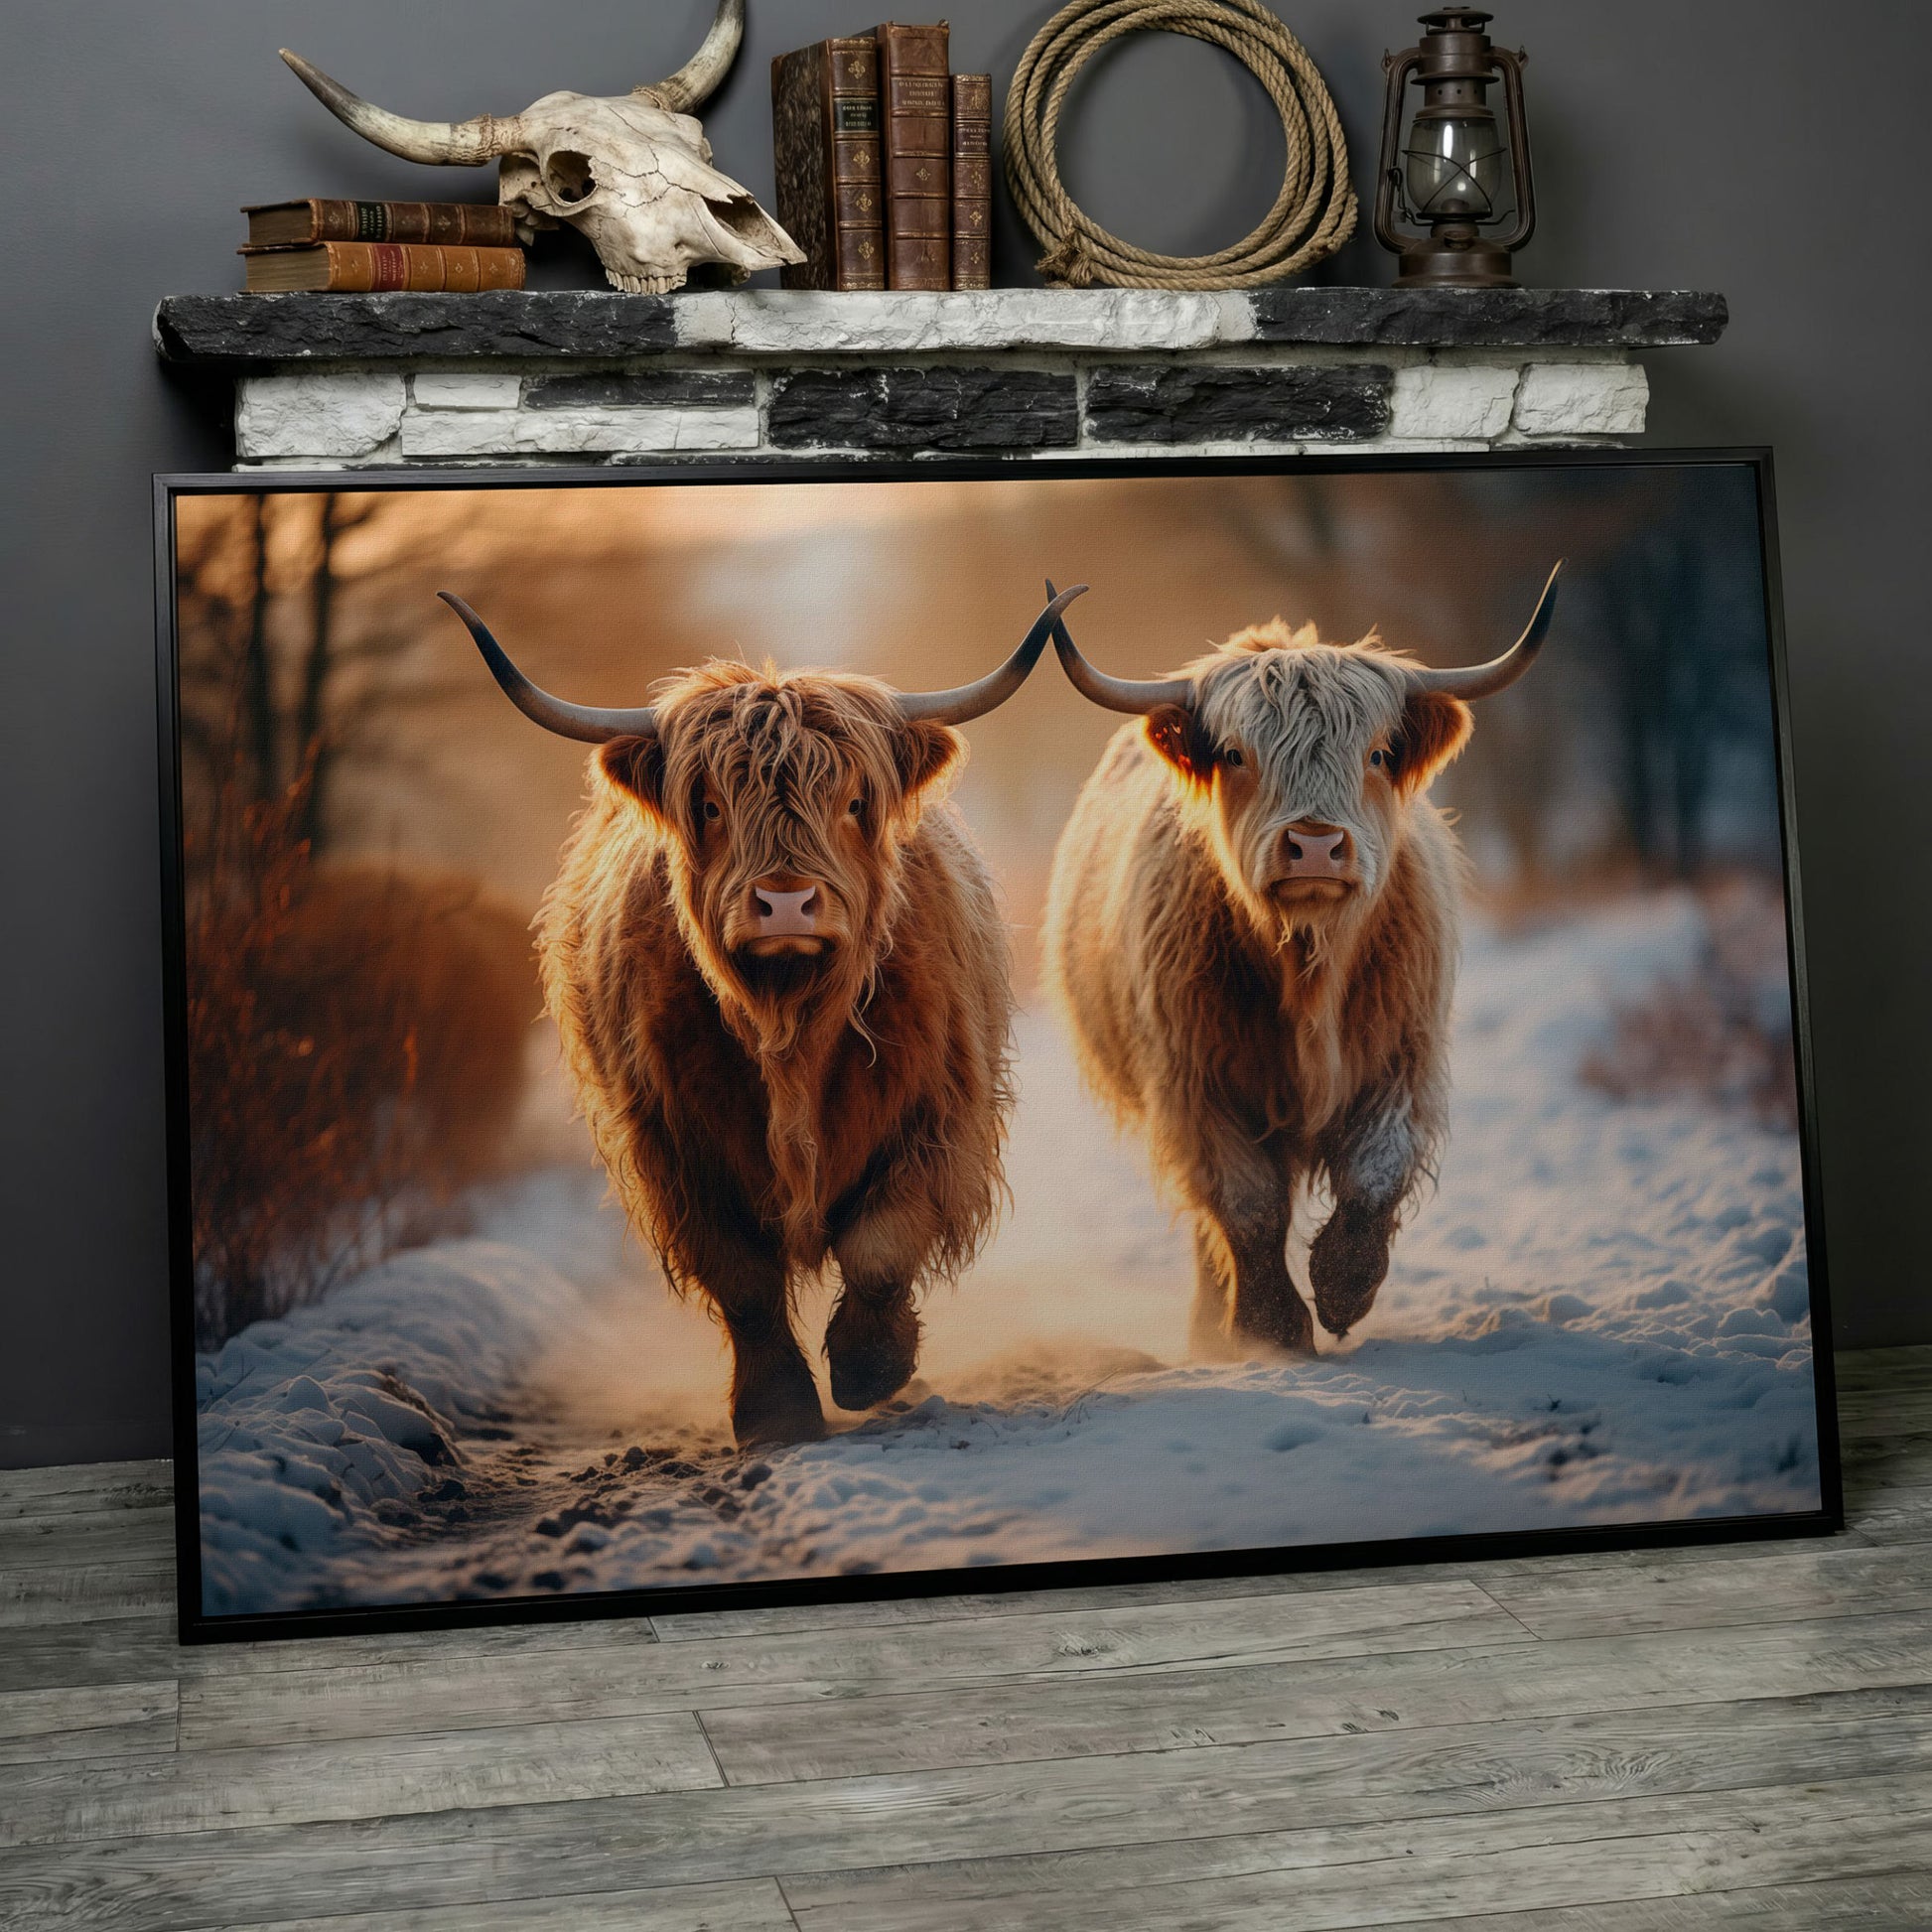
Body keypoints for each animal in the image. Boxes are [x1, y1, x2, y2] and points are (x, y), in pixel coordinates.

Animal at [440, 585, 1087, 1445]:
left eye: (854, 801)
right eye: (711, 805)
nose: (785, 903)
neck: (790, 1023)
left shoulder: (937, 1112)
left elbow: (880, 1248)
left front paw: (868, 1369)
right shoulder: (675, 1145)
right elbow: (741, 1277)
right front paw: (775, 1412)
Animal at [1041, 567, 1562, 1359]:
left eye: (1376, 754)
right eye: (1235, 755)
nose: (1315, 845)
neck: (1310, 962)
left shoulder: (1401, 1058)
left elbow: (1376, 1174)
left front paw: (1343, 1289)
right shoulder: (1196, 1082)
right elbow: (1246, 1204)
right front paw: (1270, 1327)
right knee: (1212, 1222)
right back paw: (1210, 1330)